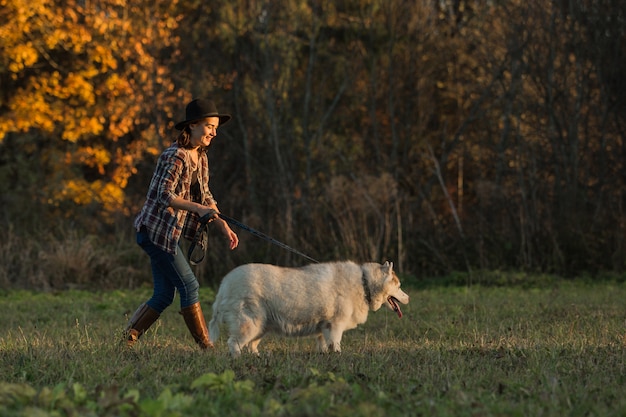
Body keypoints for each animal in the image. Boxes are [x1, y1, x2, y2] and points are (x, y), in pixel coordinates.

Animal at [207, 260, 408, 354]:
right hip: (250, 324)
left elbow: (324, 345)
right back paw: (237, 359)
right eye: (399, 286)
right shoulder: (335, 326)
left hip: (261, 327)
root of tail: (225, 283)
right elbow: (336, 345)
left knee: (251, 345)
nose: (408, 298)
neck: (363, 283)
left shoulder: (325, 327)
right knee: (234, 343)